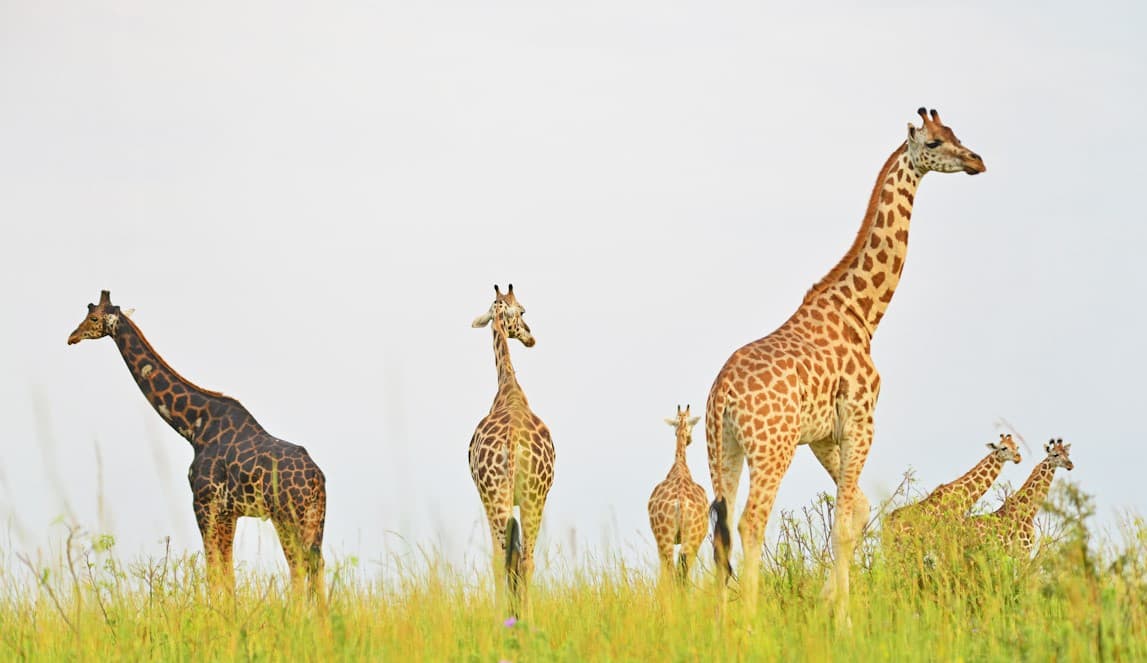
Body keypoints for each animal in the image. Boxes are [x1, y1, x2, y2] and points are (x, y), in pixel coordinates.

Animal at [68, 290, 326, 600]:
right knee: (317, 563)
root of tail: (316, 477)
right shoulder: (227, 511)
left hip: (286, 514)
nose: (72, 337)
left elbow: (213, 570)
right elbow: (226, 572)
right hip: (314, 517)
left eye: (93, 318)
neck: (194, 428)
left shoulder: (204, 502)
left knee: (298, 566)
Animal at [469, 284, 555, 604]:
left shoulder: (486, 496)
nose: (530, 335)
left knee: (513, 558)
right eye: (522, 311)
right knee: (523, 559)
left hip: (509, 495)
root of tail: (513, 439)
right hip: (529, 496)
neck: (509, 389)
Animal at [647, 405, 709, 586]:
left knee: (674, 569)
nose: (689, 440)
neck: (680, 466)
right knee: (679, 569)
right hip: (687, 538)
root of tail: (681, 502)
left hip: (667, 537)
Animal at [706, 108, 986, 617]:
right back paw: (751, 622)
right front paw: (844, 619)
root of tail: (722, 395)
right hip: (772, 449)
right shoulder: (861, 419)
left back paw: (719, 622)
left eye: (956, 132)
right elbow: (844, 520)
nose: (977, 161)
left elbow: (857, 511)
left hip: (723, 450)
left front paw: (826, 603)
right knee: (751, 522)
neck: (862, 313)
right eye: (934, 143)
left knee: (720, 530)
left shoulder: (822, 436)